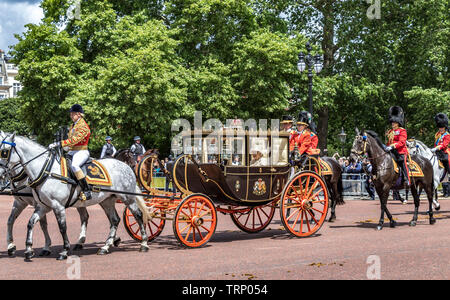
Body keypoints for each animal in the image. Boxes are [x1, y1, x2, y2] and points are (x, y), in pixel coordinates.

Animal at [0, 133, 151, 260]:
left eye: (4, 152)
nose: (136, 165)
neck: (46, 170)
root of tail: (125, 166)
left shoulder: (57, 206)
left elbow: (61, 227)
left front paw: (63, 250)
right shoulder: (41, 205)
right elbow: (28, 223)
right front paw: (26, 249)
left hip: (127, 198)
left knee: (137, 215)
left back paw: (143, 243)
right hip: (106, 201)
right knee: (113, 220)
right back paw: (105, 246)